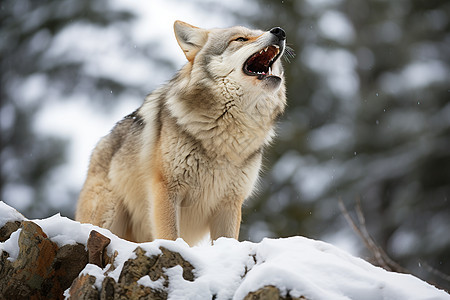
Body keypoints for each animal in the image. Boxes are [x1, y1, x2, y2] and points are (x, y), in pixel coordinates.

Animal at [75, 21, 286, 246]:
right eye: (240, 39)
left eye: (260, 33)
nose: (279, 31)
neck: (227, 136)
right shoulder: (167, 189)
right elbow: (169, 236)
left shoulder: (229, 203)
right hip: (109, 216)